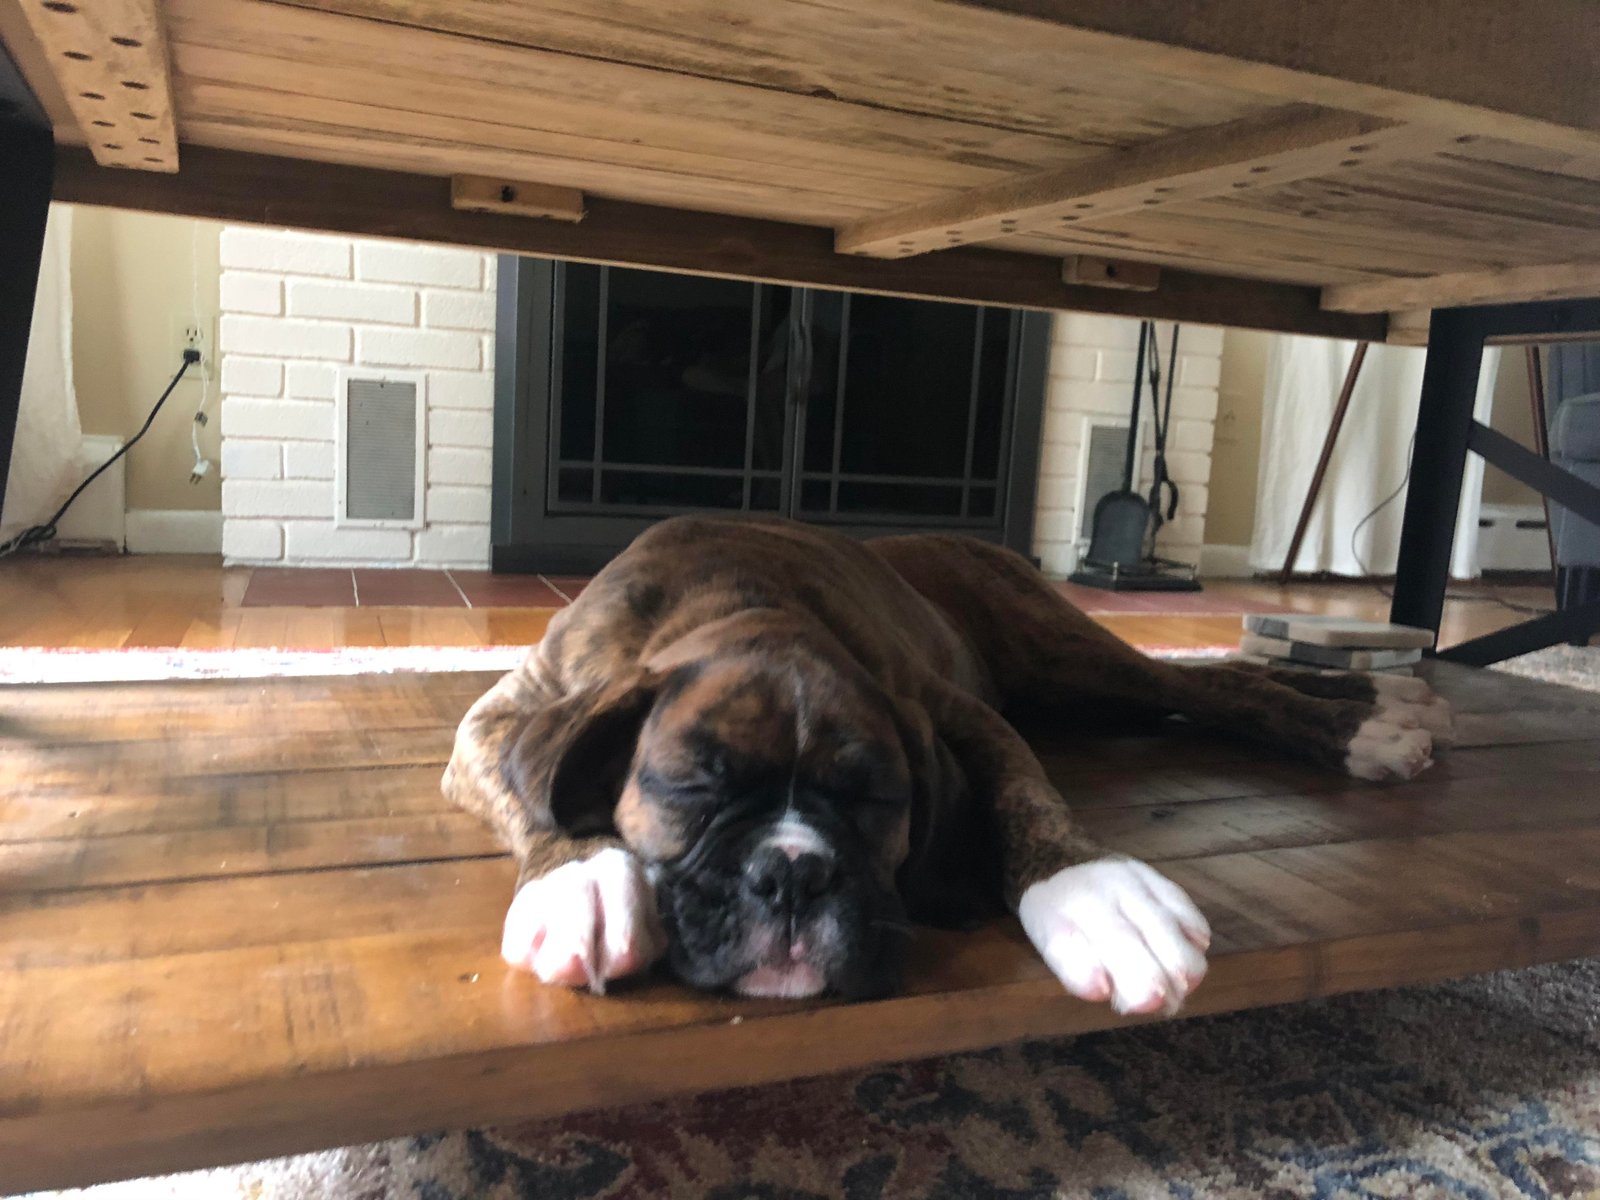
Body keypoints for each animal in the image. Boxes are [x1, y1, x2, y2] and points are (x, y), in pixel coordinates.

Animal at [441, 518, 1452, 1017]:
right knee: (1196, 688)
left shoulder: (954, 713)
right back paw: (1384, 704)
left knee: (1216, 682)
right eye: (692, 789)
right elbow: (535, 798)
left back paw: (1372, 719)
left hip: (1064, 657)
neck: (734, 598)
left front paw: (1094, 895)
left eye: (876, 799)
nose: (792, 874)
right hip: (1073, 694)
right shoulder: (492, 722)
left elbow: (1026, 797)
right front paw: (581, 877)